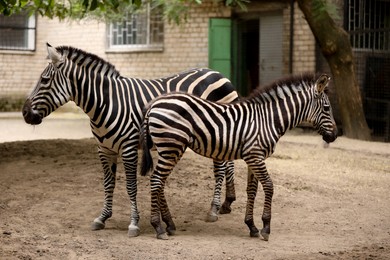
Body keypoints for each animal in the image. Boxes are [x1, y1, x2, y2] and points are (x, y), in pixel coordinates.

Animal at [140, 72, 338, 240]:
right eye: (327, 108)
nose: (335, 136)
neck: (269, 119)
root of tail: (153, 105)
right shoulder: (255, 156)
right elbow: (269, 186)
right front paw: (266, 227)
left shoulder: (254, 157)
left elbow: (252, 190)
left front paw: (252, 226)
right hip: (171, 146)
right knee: (157, 180)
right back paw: (158, 227)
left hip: (171, 148)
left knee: (159, 182)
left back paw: (169, 224)